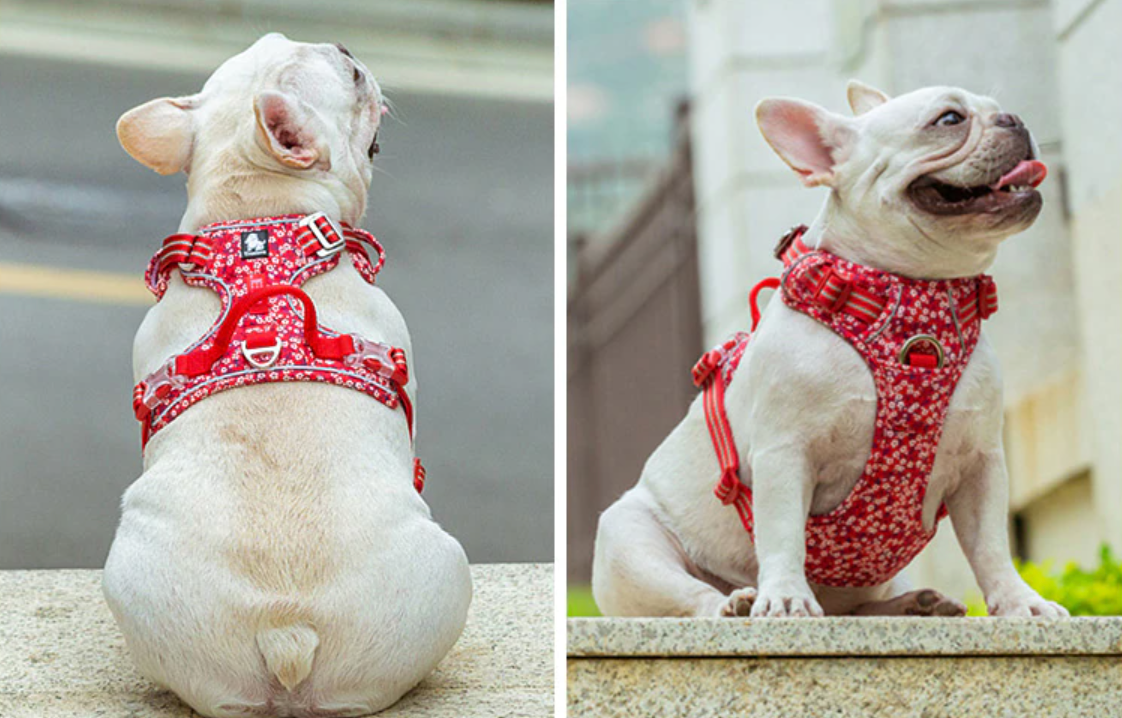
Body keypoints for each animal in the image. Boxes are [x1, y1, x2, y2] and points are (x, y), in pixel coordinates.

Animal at [592, 81, 1063, 619]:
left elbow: (990, 546)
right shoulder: (785, 452)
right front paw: (785, 598)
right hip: (631, 541)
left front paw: (1022, 602)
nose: (1014, 119)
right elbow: (783, 534)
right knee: (690, 597)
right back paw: (736, 603)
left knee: (855, 609)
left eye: (997, 108)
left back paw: (913, 605)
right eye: (948, 120)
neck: (910, 301)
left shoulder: (980, 463)